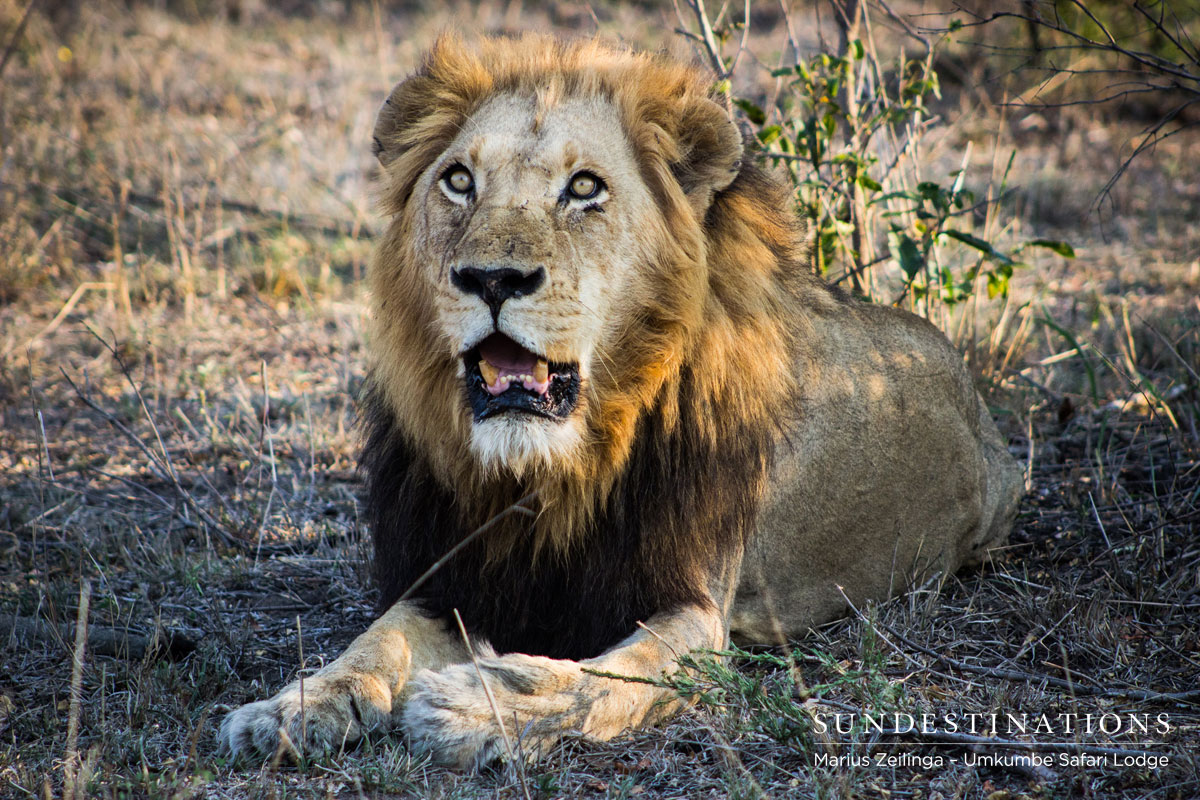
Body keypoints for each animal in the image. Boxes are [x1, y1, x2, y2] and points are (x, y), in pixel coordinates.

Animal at [218, 33, 1023, 769]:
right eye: (458, 180)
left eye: (583, 188)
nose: (491, 279)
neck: (552, 472)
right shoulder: (449, 576)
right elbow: (374, 640)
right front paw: (291, 708)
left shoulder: (697, 609)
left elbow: (608, 678)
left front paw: (480, 704)